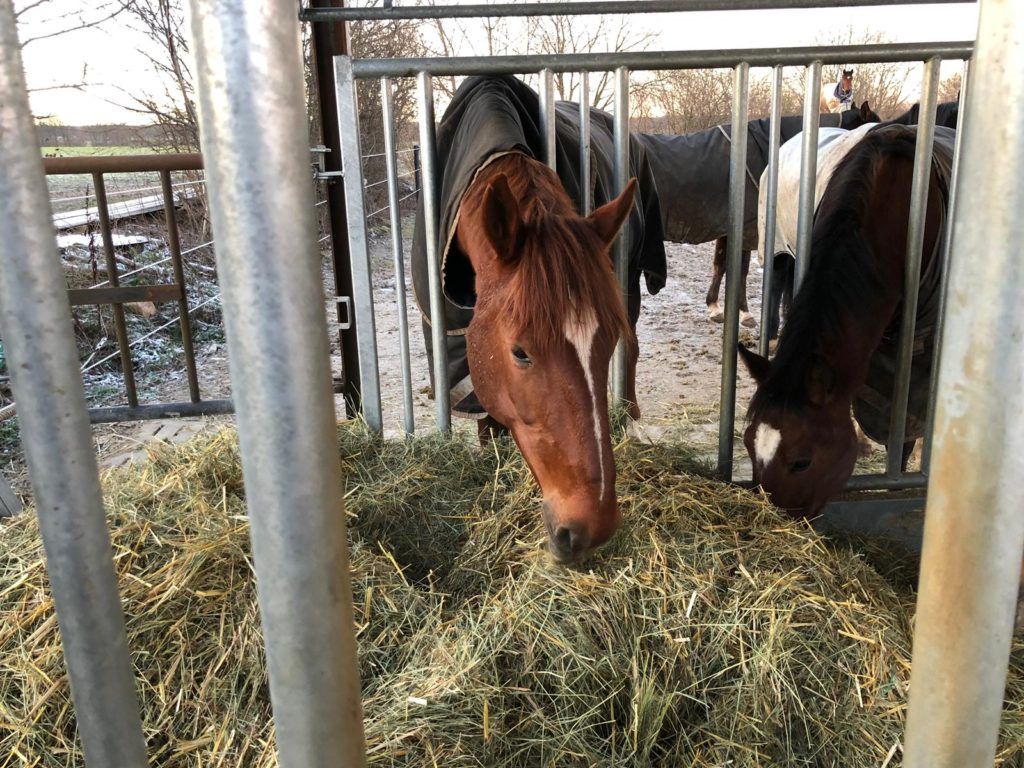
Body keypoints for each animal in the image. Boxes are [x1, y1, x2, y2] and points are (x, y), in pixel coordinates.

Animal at [634, 102, 879, 329]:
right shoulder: (746, 232)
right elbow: (740, 271)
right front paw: (744, 314)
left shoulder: (728, 231)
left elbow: (720, 265)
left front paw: (714, 307)